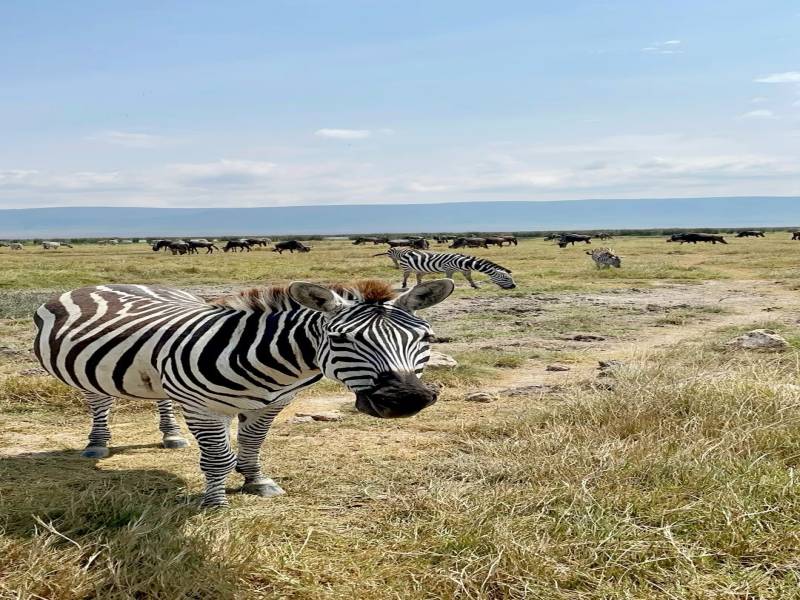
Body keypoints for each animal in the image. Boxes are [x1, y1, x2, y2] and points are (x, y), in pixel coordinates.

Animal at [34, 278, 454, 506]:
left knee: (162, 397)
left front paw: (255, 480)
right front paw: (215, 501)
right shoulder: (203, 408)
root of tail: (111, 284)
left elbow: (252, 445)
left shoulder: (274, 403)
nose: (407, 400)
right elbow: (218, 458)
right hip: (87, 373)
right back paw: (97, 444)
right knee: (99, 401)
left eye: (425, 338)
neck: (274, 366)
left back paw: (171, 436)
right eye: (341, 339)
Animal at [390, 250, 520, 290]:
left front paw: (475, 286)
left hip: (421, 270)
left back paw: (419, 285)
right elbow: (449, 279)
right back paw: (404, 285)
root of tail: (408, 252)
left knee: (418, 276)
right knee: (405, 276)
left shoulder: (465, 270)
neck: (464, 263)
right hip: (407, 268)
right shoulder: (448, 269)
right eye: (506, 278)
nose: (514, 286)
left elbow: (469, 278)